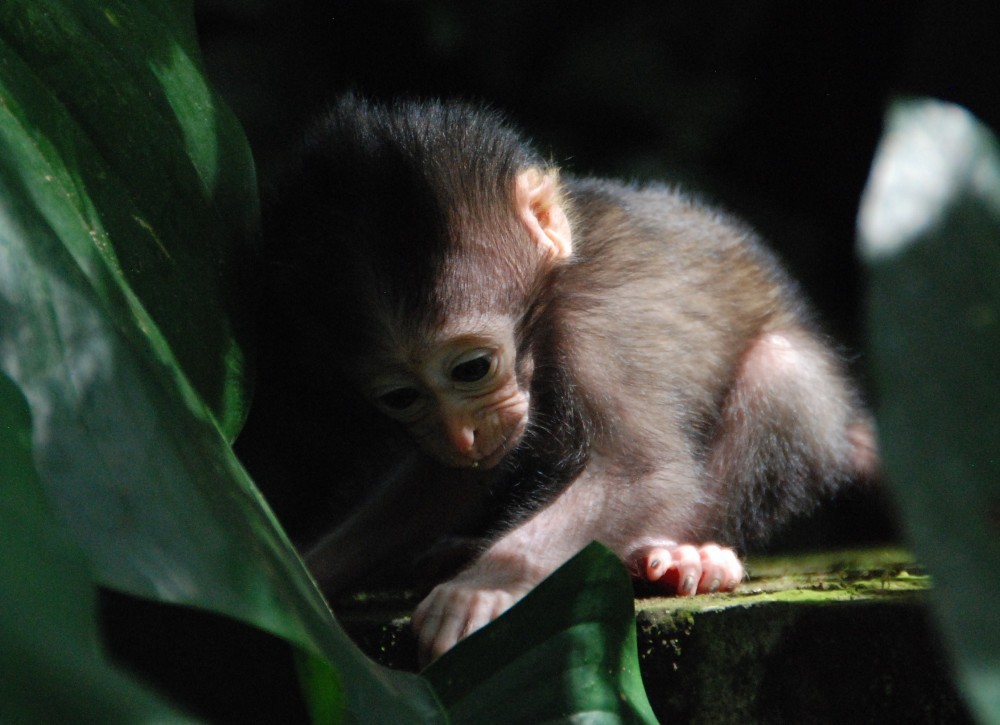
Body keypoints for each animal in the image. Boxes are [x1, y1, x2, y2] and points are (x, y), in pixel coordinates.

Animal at [260, 96, 876, 660]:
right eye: (401, 398)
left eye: (472, 368)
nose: (461, 434)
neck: (541, 314)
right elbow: (437, 485)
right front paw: (297, 580)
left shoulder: (597, 330)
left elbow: (641, 471)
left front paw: (482, 586)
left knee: (779, 371)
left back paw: (694, 555)